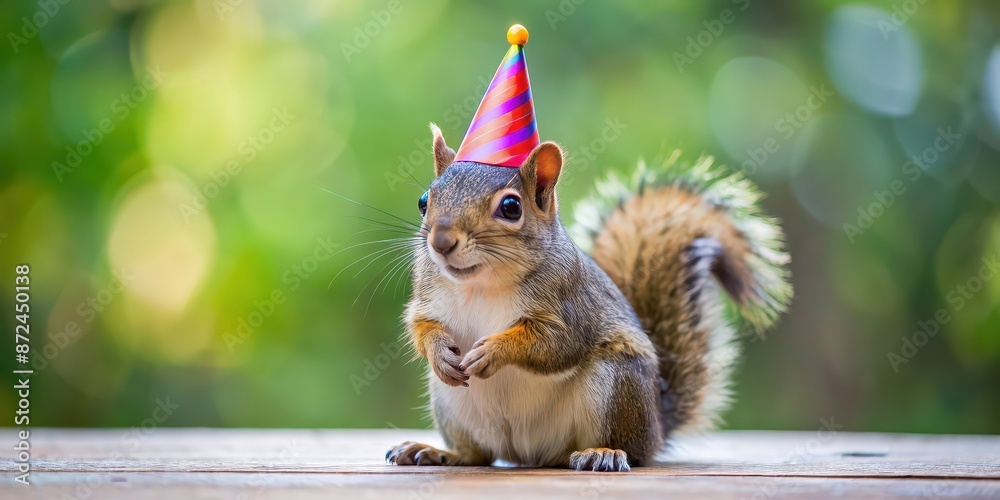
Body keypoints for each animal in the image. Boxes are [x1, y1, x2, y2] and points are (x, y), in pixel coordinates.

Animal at [386, 125, 792, 472]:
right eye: (424, 200)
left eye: (511, 207)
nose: (441, 241)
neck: (481, 282)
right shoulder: (427, 290)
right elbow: (420, 324)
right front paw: (438, 350)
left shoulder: (571, 305)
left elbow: (556, 344)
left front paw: (493, 351)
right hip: (450, 403)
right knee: (479, 454)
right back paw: (436, 451)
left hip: (615, 385)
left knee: (627, 450)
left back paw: (603, 452)